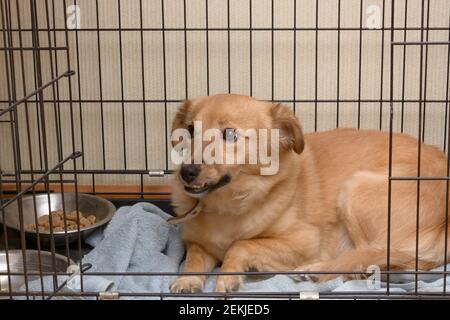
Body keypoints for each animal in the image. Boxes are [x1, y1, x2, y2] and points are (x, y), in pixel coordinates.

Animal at [169, 93, 450, 292]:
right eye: (189, 130)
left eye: (229, 134)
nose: (187, 172)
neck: (226, 204)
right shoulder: (196, 243)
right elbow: (193, 258)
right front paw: (187, 281)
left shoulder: (304, 240)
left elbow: (241, 244)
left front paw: (229, 275)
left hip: (355, 188)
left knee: (372, 254)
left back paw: (320, 270)